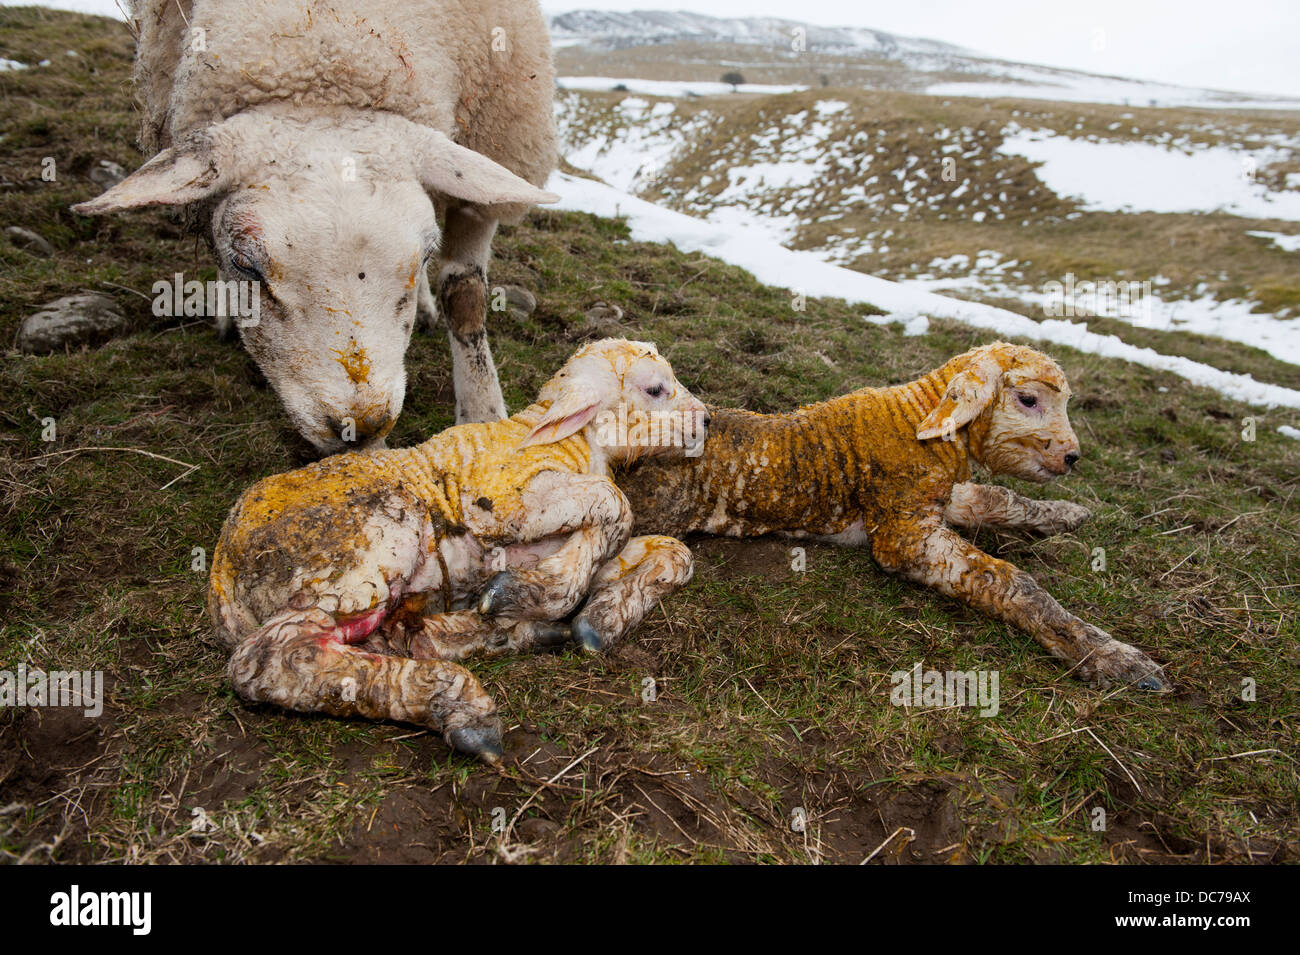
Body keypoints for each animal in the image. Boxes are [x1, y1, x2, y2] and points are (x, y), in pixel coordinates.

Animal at [613, 343, 1175, 696]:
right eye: (1028, 398)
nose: (1072, 457)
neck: (920, 423)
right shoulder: (903, 532)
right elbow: (1010, 580)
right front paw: (1112, 657)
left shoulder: (938, 495)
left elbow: (1000, 499)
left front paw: (1067, 515)